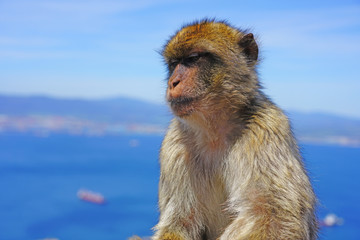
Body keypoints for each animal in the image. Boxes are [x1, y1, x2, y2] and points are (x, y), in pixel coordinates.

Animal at [131, 19, 316, 240]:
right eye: (174, 64)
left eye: (192, 59)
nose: (173, 82)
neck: (214, 131)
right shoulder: (174, 143)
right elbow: (180, 220)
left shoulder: (267, 127)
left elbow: (275, 215)